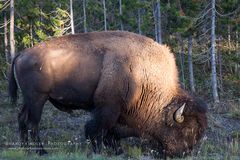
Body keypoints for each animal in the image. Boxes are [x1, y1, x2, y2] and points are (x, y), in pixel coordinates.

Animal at [8, 31, 207, 156]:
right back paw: (41, 152)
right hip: (38, 98)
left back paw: (24, 149)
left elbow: (111, 133)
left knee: (21, 118)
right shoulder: (108, 107)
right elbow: (97, 130)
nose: (184, 153)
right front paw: (101, 151)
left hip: (29, 99)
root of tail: (21, 54)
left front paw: (118, 151)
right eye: (187, 129)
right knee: (33, 123)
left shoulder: (117, 112)